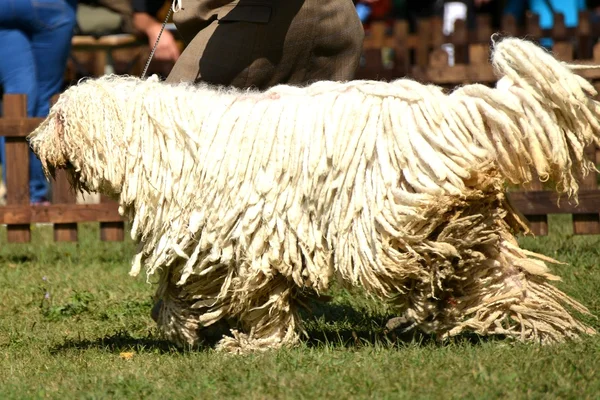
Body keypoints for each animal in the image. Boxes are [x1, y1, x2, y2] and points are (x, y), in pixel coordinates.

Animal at [28, 36, 600, 352]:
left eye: (59, 118)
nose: (32, 141)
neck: (158, 141)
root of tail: (450, 107)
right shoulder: (207, 239)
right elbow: (182, 287)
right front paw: (182, 327)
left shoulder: (243, 238)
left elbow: (254, 296)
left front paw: (251, 344)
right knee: (500, 268)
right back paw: (544, 325)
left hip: (385, 221)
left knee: (443, 253)